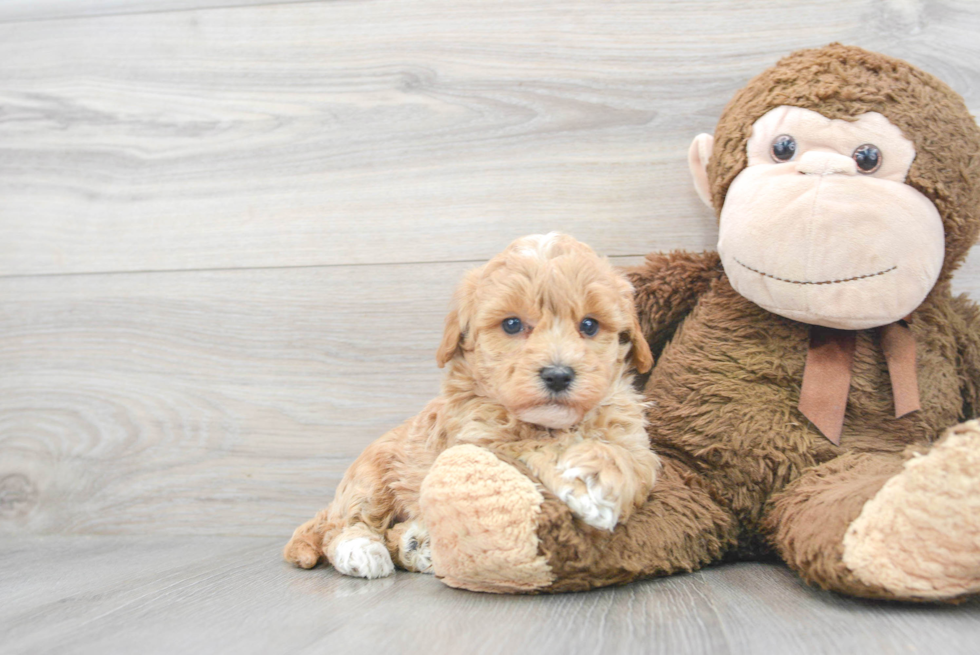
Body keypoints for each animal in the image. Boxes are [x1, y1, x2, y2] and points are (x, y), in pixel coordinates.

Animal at [284, 234, 660, 580]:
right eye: (512, 324)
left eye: (589, 325)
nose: (557, 375)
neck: (552, 423)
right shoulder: (478, 443)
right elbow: (530, 445)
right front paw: (582, 479)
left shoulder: (634, 442)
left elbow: (631, 462)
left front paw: (598, 475)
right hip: (371, 479)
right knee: (344, 525)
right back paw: (362, 549)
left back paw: (417, 544)